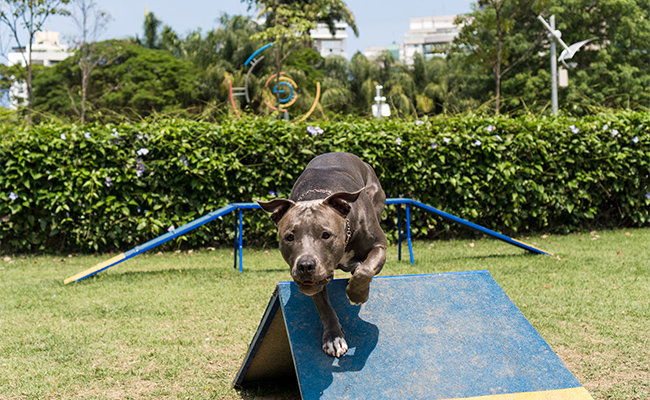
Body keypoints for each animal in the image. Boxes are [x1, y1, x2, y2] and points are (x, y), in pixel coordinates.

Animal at [256, 152, 384, 358]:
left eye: (326, 234)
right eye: (289, 237)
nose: (305, 266)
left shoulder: (379, 245)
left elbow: (366, 270)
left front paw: (357, 294)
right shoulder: (316, 281)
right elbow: (323, 306)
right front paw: (333, 338)